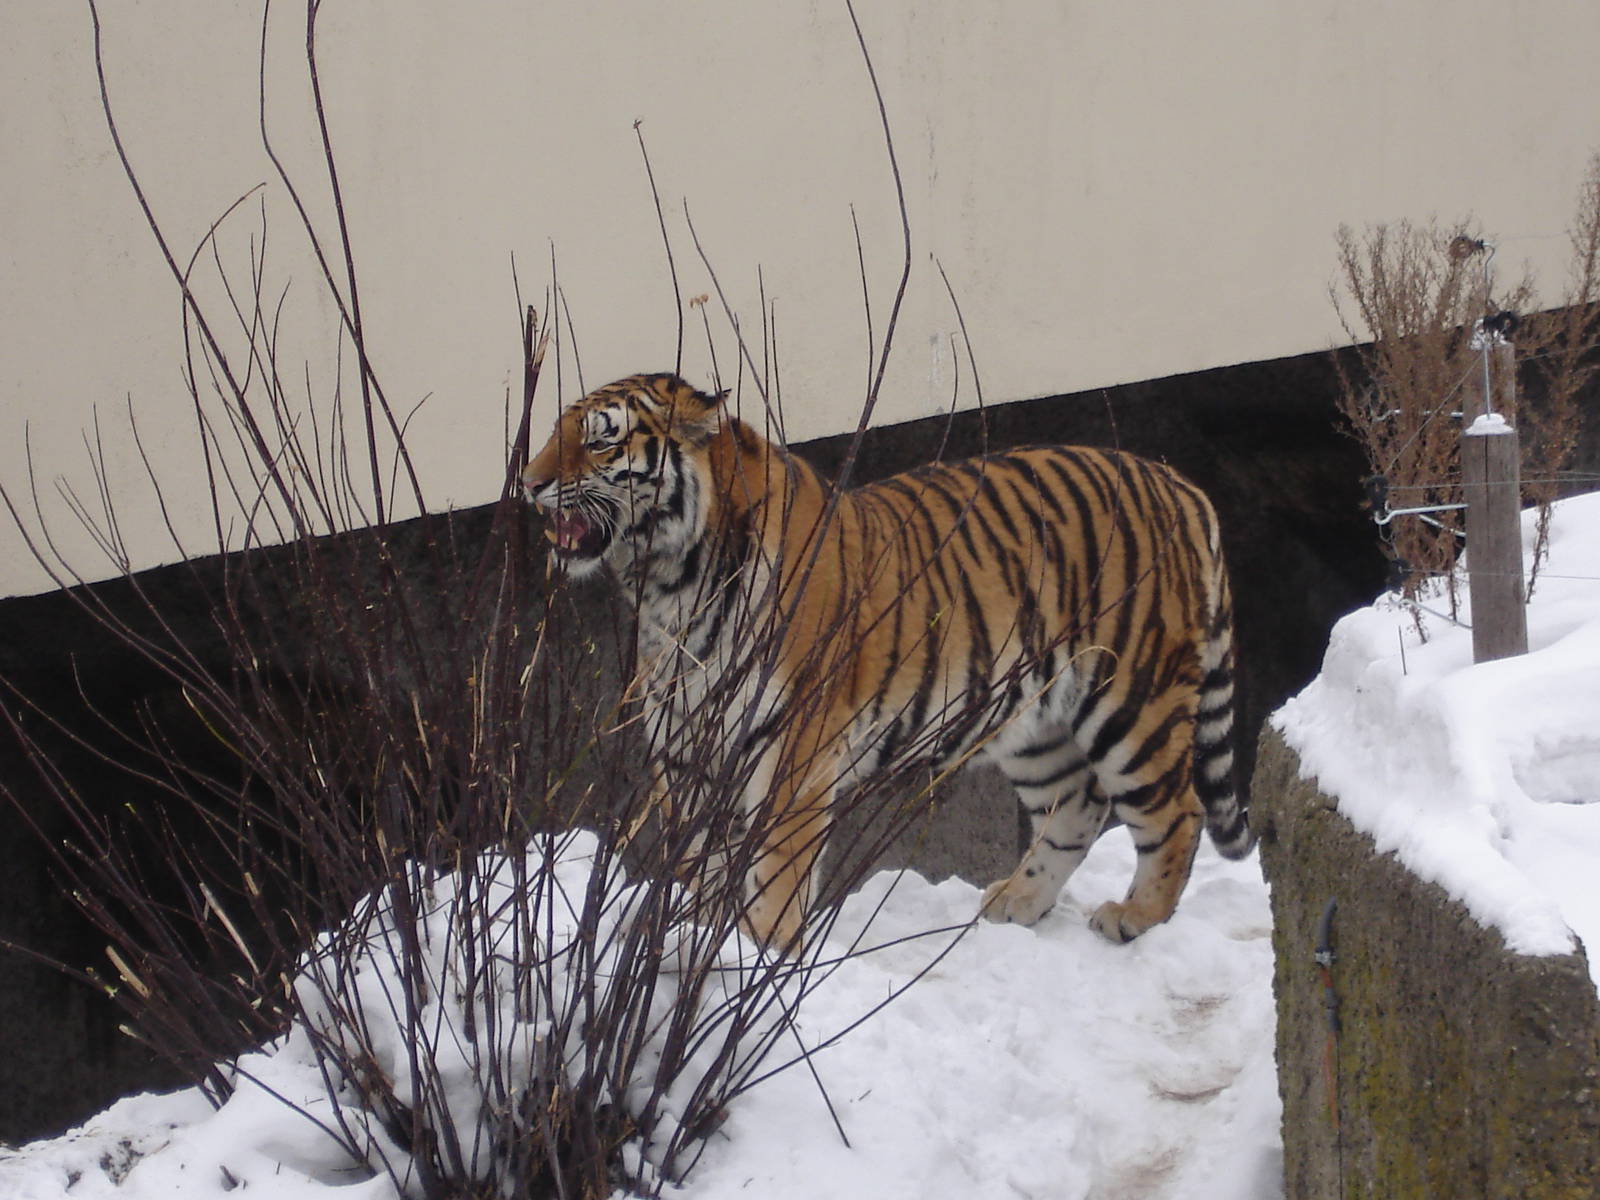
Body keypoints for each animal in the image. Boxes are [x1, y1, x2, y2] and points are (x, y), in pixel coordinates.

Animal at [521, 372, 1253, 953]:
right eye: (556, 429)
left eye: (601, 439)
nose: (529, 484)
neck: (672, 586)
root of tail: (1180, 483)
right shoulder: (687, 748)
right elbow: (701, 855)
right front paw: (691, 938)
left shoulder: (791, 749)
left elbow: (775, 867)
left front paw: (759, 950)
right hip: (1033, 724)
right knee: (1077, 804)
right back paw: (1016, 903)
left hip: (1132, 697)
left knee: (1177, 811)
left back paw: (1135, 916)